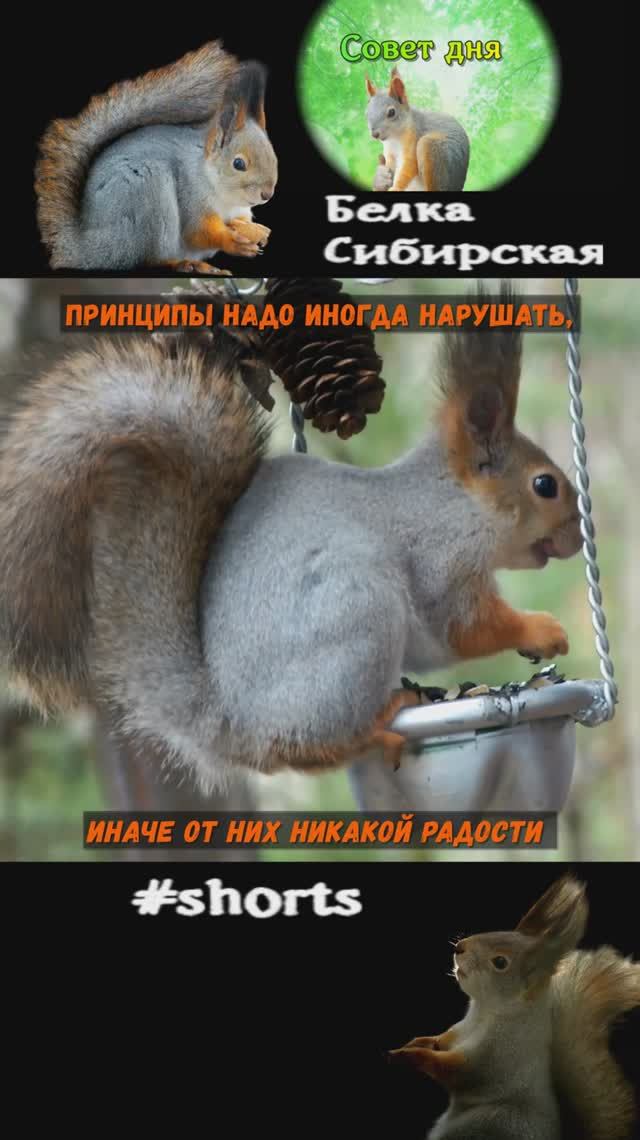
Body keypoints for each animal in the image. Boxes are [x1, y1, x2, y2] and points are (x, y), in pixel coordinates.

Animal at [0, 287, 581, 789]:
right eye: (545, 485)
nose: (577, 539)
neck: (453, 501)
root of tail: (231, 729)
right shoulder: (441, 558)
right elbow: (465, 626)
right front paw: (542, 629)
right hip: (357, 613)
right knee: (299, 750)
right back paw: (376, 725)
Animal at [35, 42, 278, 273]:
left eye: (274, 158)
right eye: (238, 163)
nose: (266, 195)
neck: (225, 195)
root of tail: (88, 246)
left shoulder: (239, 210)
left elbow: (239, 221)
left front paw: (255, 230)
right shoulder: (192, 195)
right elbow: (197, 232)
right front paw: (233, 242)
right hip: (149, 195)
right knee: (149, 258)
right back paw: (186, 264)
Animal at [389, 875, 640, 1140]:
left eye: (500, 962)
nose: (460, 947)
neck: (485, 1012)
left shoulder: (497, 1055)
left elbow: (456, 1071)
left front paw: (409, 1055)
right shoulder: (459, 1030)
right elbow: (441, 1041)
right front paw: (417, 1042)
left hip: (489, 1123)